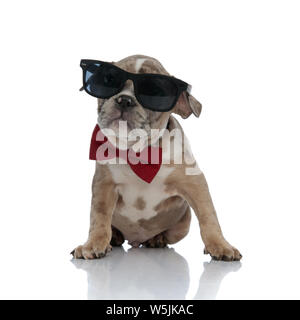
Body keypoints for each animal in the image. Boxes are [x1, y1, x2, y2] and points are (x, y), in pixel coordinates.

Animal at [72, 55, 241, 262]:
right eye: (108, 80)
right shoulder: (104, 185)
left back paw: (156, 240)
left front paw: (220, 245)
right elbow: (99, 217)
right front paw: (93, 243)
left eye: (154, 93)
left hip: (182, 226)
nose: (124, 100)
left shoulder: (194, 183)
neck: (138, 151)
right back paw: (116, 238)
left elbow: (208, 215)